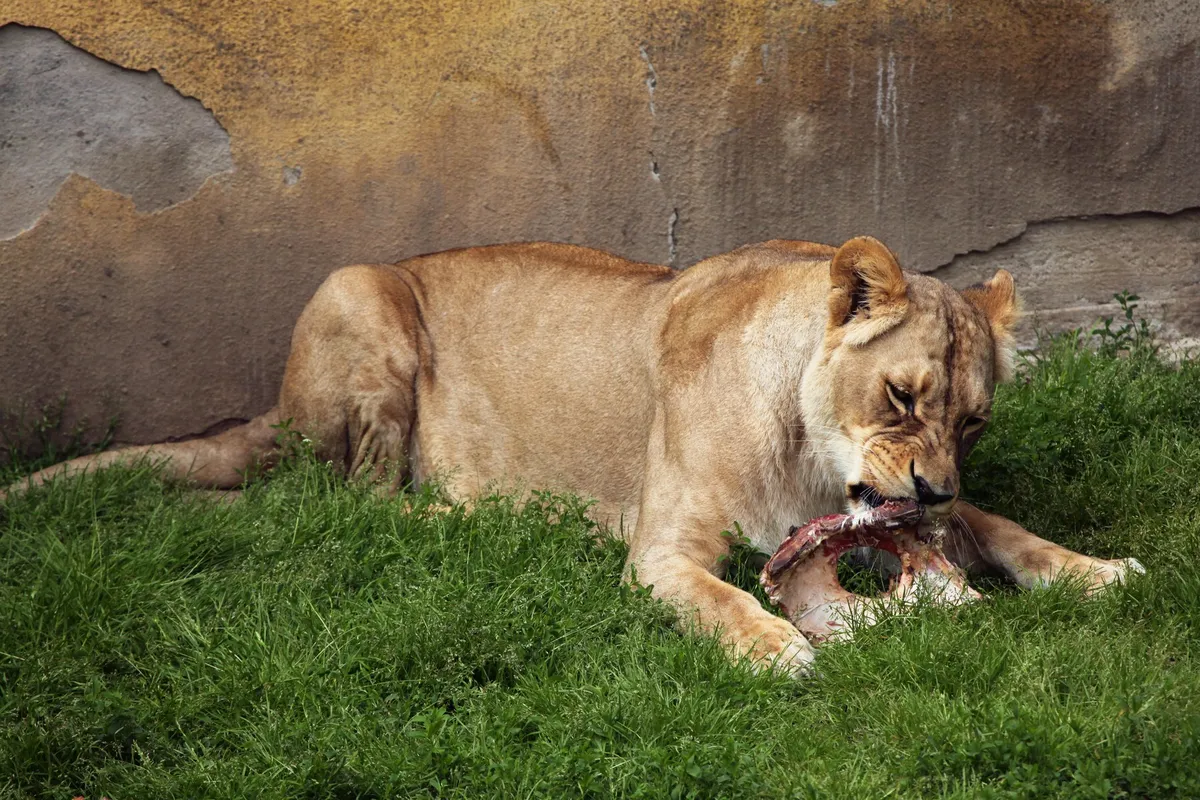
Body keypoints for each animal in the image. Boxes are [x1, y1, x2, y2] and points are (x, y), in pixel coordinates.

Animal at [3, 236, 1143, 673]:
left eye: (976, 421)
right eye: (901, 394)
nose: (933, 486)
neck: (815, 451)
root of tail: (267, 411)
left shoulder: (926, 509)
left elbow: (1008, 530)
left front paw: (1099, 570)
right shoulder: (664, 549)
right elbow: (723, 596)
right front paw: (778, 646)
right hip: (358, 293)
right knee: (349, 504)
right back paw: (498, 514)